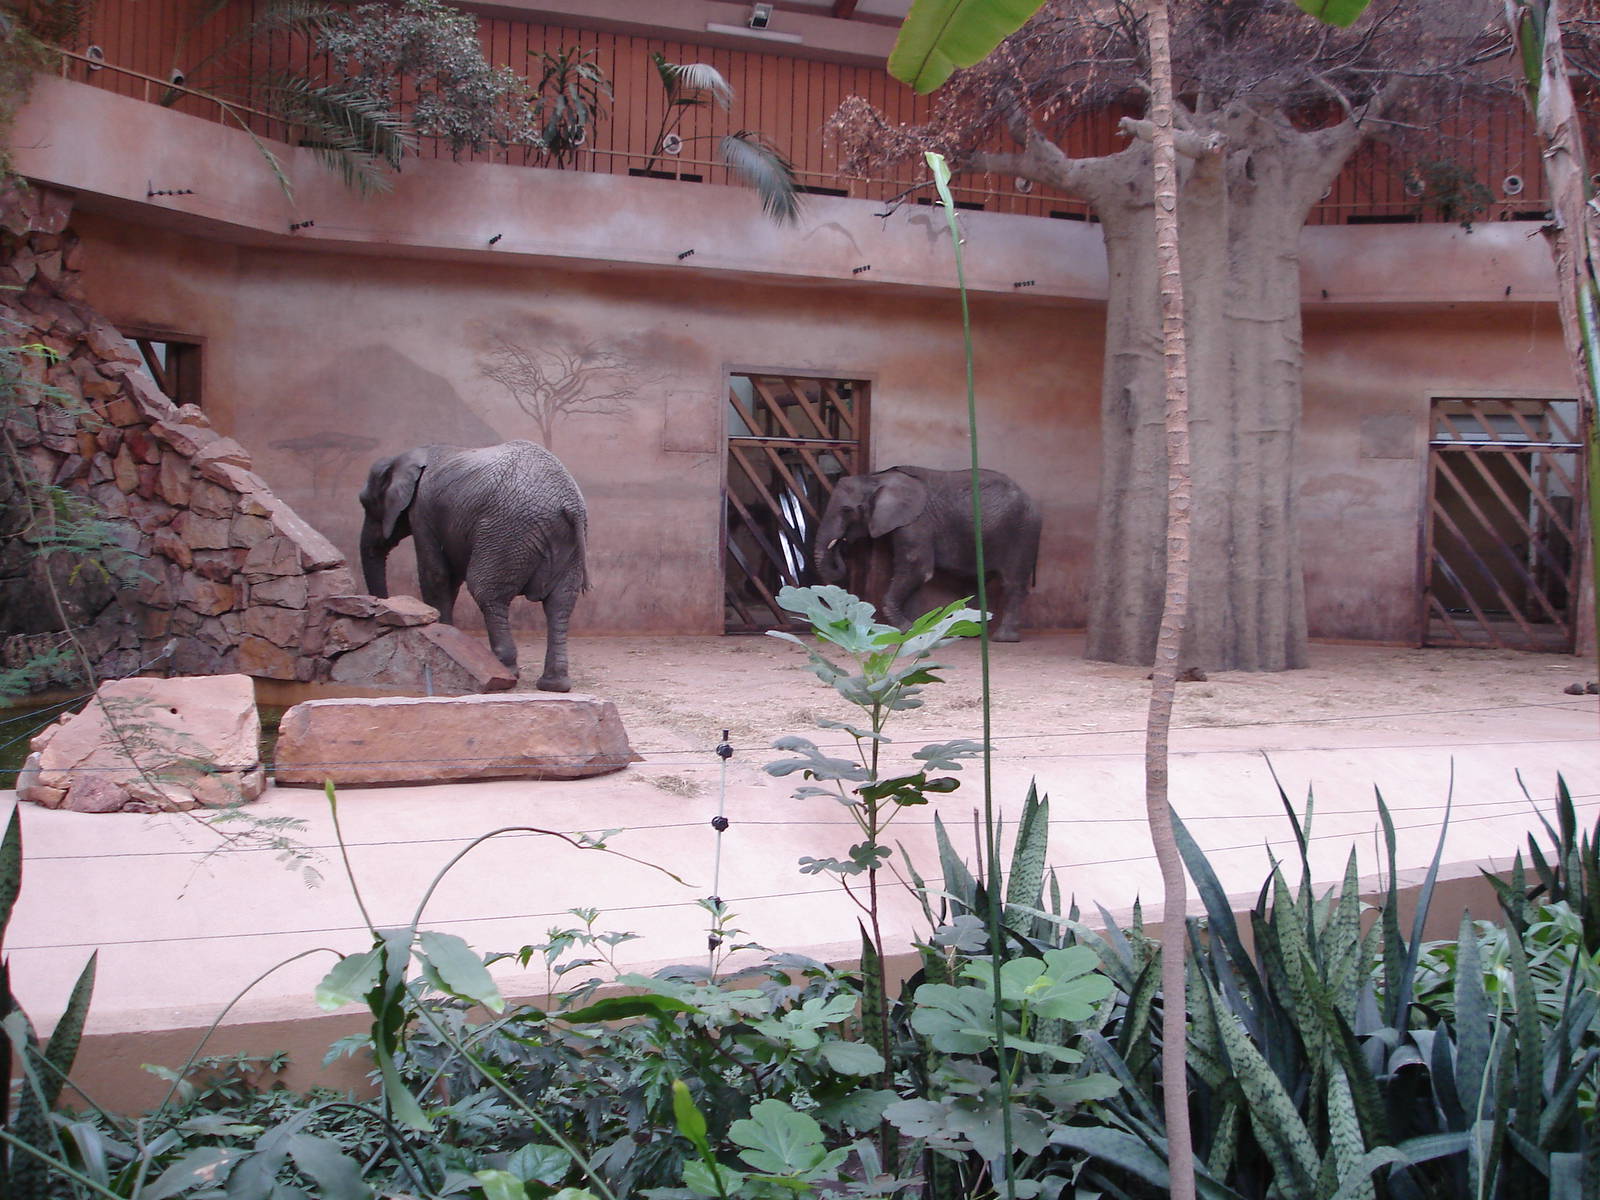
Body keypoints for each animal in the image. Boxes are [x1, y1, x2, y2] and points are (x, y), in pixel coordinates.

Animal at [359, 440, 588, 691]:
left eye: (366, 503)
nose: (381, 605)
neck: (406, 456)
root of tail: (569, 506)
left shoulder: (423, 511)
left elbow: (435, 575)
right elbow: (451, 579)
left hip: (506, 533)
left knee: (487, 592)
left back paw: (505, 673)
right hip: (567, 544)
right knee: (560, 603)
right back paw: (553, 685)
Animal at [815, 466, 1041, 641]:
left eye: (847, 510)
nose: (842, 543)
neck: (877, 478)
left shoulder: (916, 522)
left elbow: (918, 568)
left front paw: (906, 629)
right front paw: (915, 627)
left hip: (1021, 531)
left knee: (1012, 583)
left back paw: (1004, 638)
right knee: (975, 583)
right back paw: (969, 632)